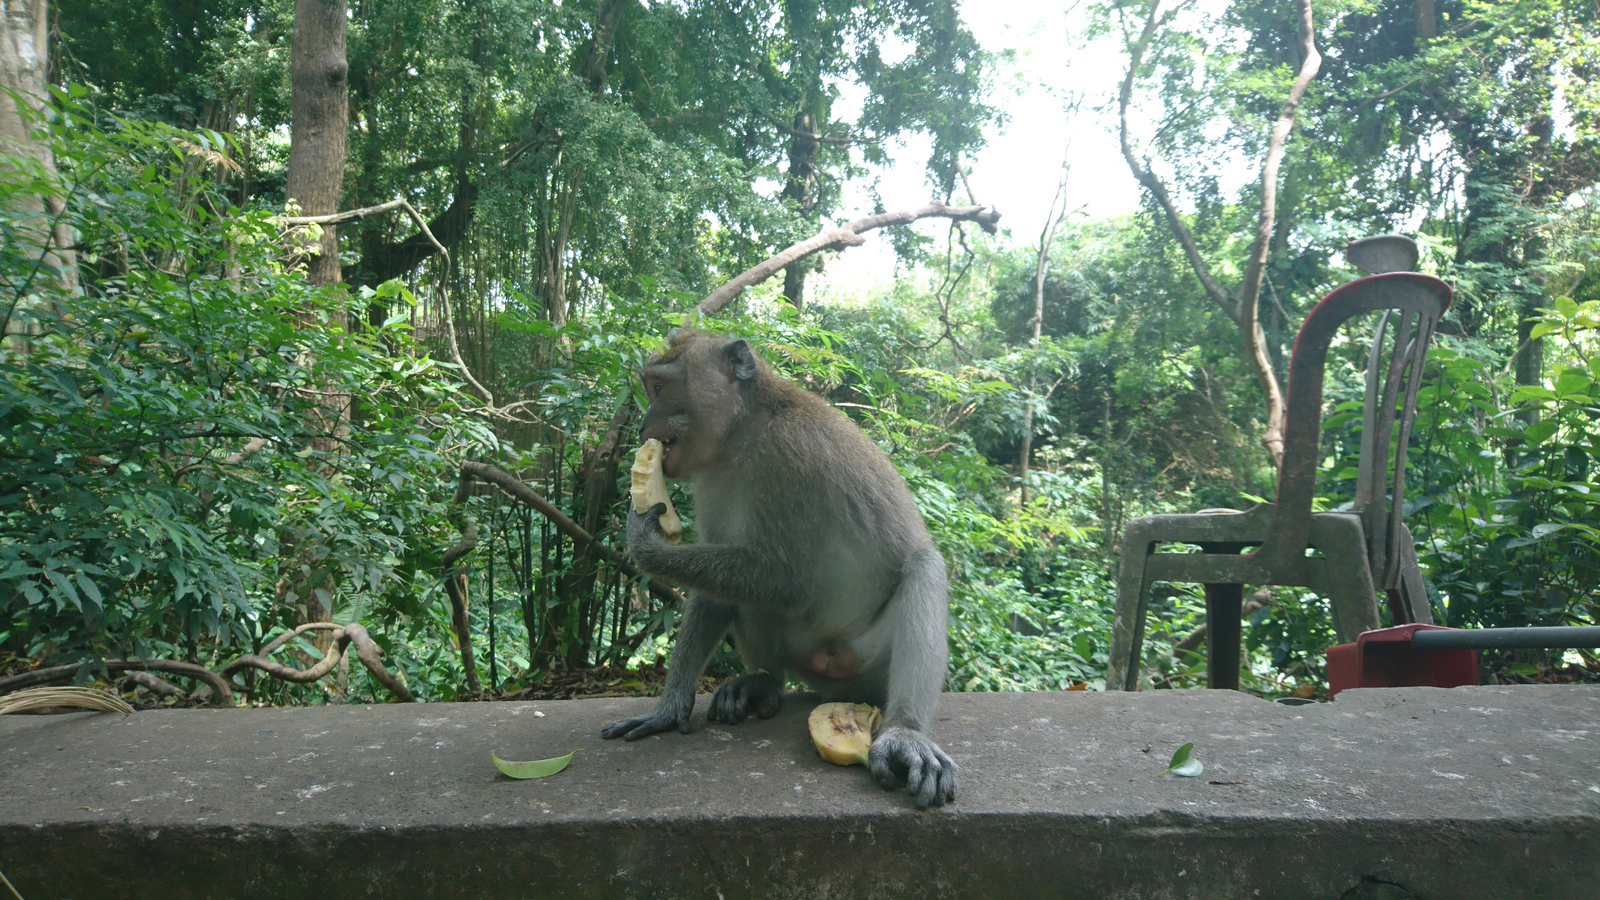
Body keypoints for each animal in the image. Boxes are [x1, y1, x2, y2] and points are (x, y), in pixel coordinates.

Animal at [598, 328, 947, 807]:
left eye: (659, 387)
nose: (640, 427)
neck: (743, 436)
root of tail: (835, 683)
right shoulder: (710, 480)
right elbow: (719, 592)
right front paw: (668, 709)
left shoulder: (791, 457)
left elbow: (788, 582)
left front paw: (644, 545)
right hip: (803, 659)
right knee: (748, 599)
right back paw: (764, 683)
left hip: (872, 665)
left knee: (923, 565)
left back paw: (906, 733)